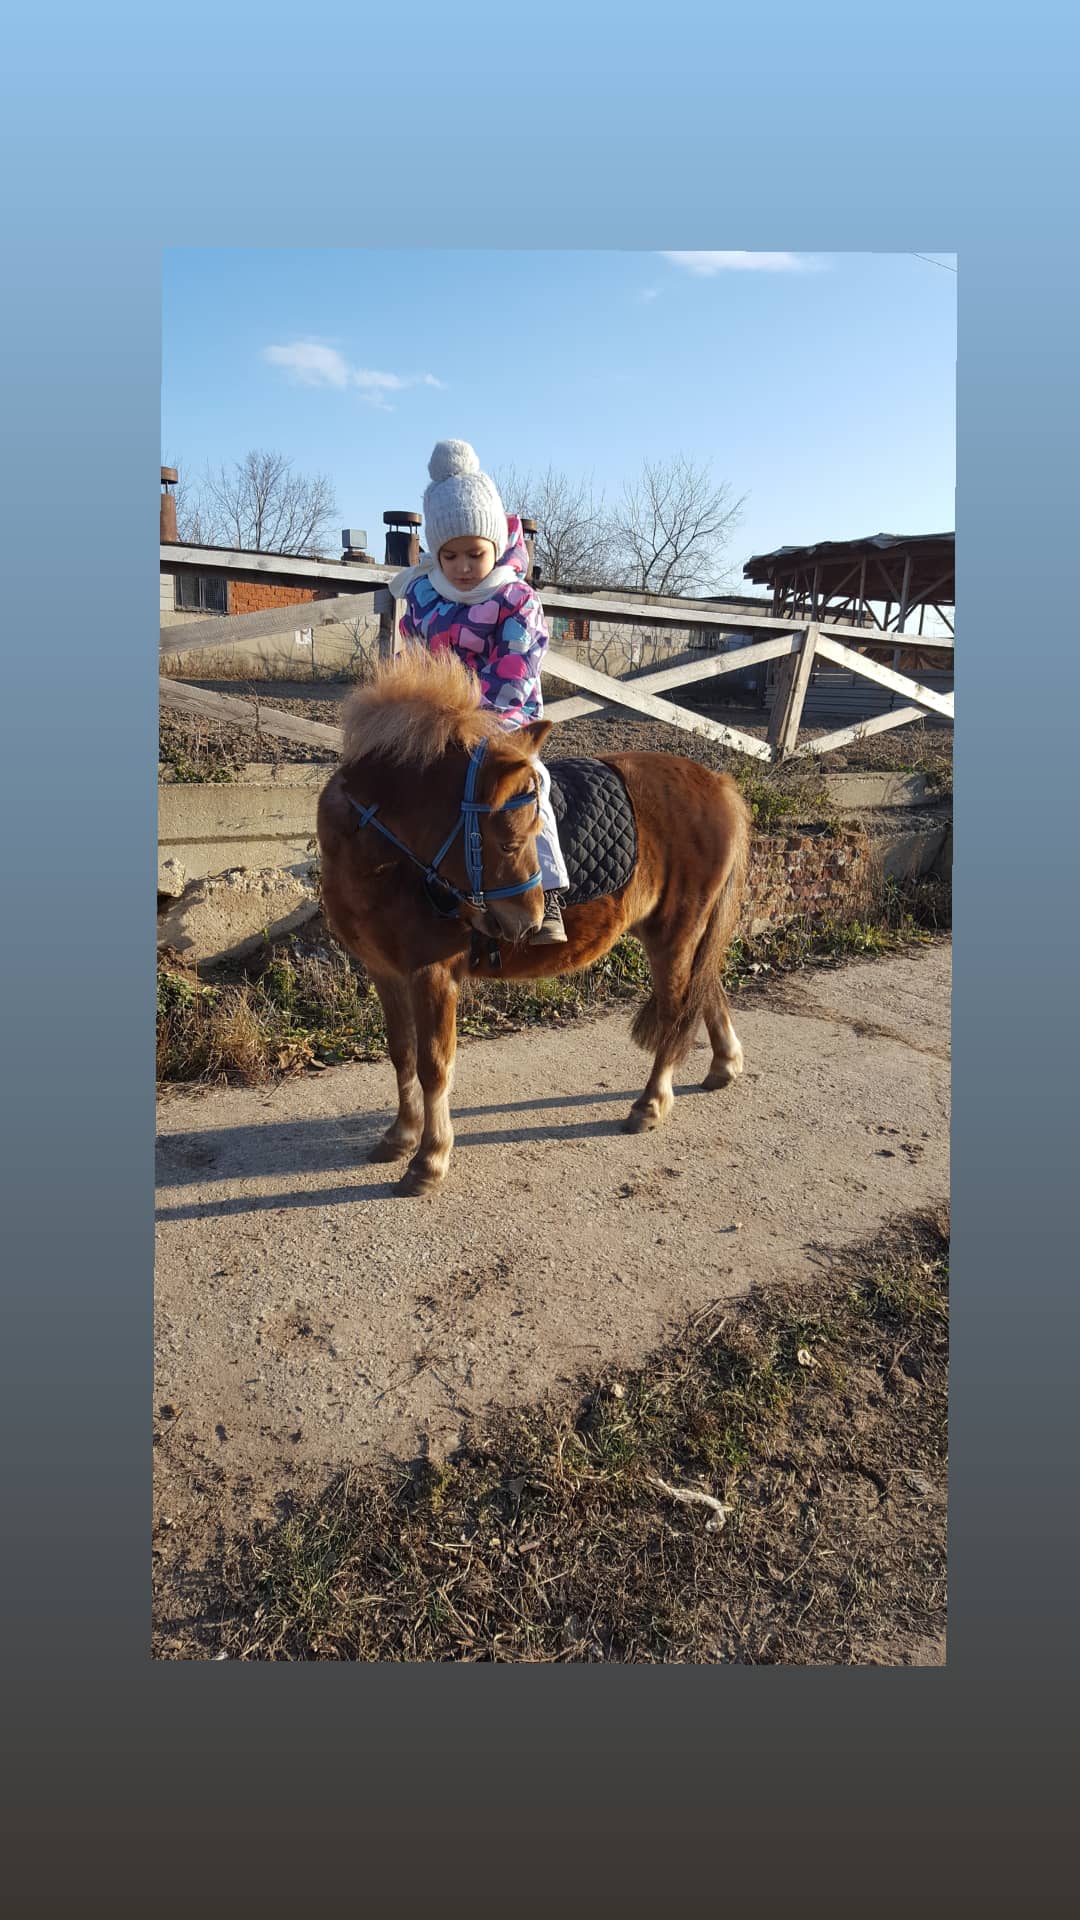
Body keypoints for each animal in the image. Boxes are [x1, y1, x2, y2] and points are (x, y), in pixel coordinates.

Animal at [316, 650, 751, 1195]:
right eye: (505, 844)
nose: (528, 923)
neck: (390, 867)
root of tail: (718, 782)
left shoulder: (432, 975)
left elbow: (434, 1065)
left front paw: (429, 1159)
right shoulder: (386, 972)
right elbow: (402, 1054)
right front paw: (401, 1136)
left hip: (675, 932)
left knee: (676, 1010)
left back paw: (651, 1103)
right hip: (678, 931)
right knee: (707, 986)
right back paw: (724, 1065)